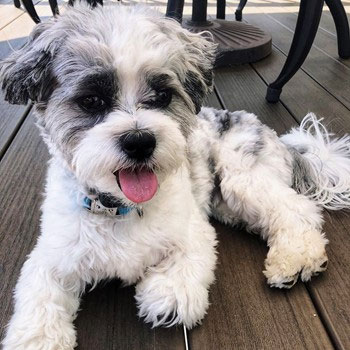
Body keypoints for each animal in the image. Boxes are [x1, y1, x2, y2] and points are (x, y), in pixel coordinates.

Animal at [0, 2, 350, 350]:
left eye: (162, 96)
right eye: (92, 100)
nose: (139, 140)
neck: (121, 209)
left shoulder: (192, 229)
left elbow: (185, 264)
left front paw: (168, 293)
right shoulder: (52, 255)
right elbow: (40, 292)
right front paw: (38, 337)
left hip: (241, 178)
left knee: (296, 209)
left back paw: (295, 258)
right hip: (226, 203)